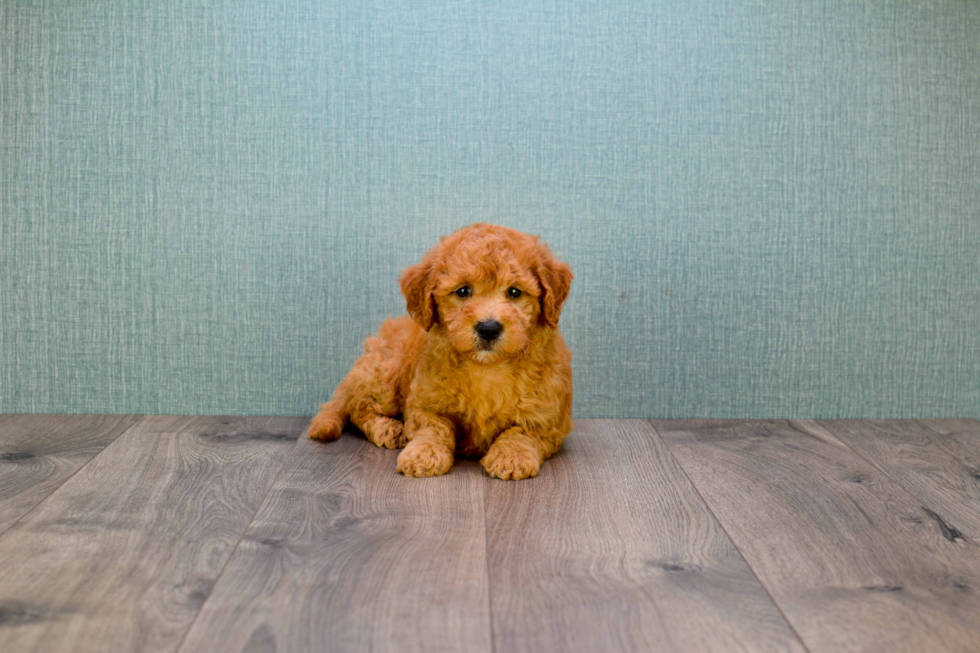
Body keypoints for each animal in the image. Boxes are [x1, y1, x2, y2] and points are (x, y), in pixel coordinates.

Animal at [308, 224, 576, 478]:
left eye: (514, 292)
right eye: (463, 291)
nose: (488, 328)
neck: (487, 367)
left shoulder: (546, 415)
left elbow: (522, 432)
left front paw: (511, 457)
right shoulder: (425, 402)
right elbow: (433, 427)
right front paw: (423, 455)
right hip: (384, 372)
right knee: (358, 407)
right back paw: (388, 428)